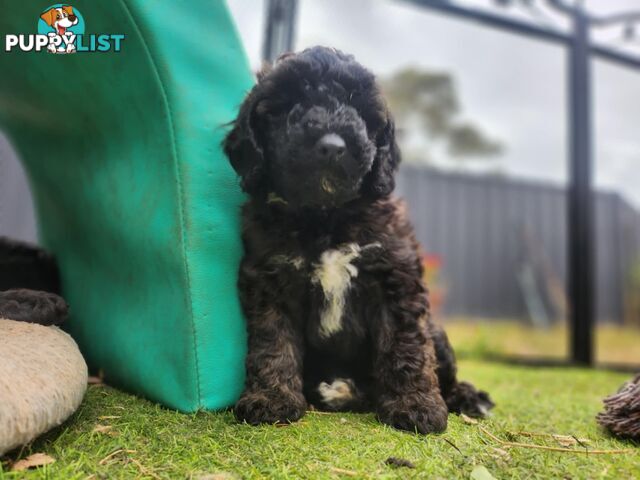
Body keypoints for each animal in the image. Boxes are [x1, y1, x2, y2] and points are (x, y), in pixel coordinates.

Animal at [222, 46, 492, 436]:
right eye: (289, 104)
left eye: (359, 108)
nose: (332, 146)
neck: (325, 215)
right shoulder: (271, 280)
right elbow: (272, 341)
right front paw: (271, 400)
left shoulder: (395, 277)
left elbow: (406, 345)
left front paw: (415, 406)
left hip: (437, 334)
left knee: (444, 370)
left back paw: (468, 398)